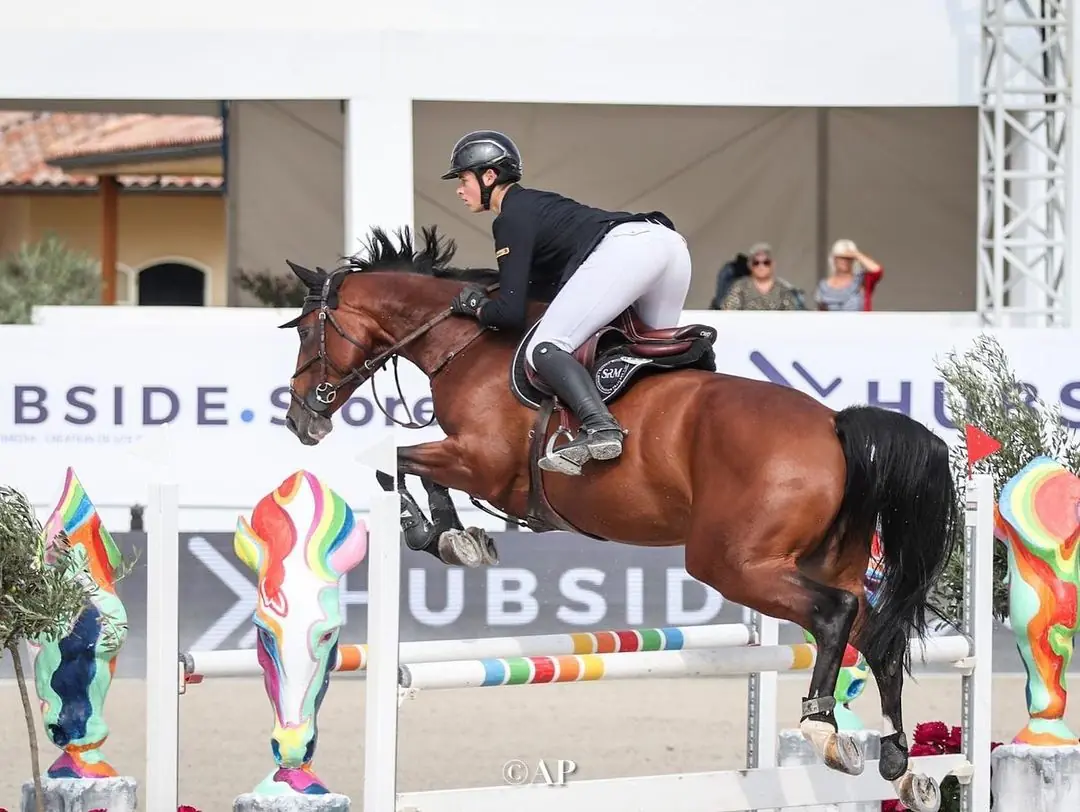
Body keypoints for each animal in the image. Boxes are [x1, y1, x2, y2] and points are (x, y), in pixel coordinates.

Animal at [277, 225, 959, 812]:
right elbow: (406, 467)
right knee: (877, 633)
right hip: (824, 559)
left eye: (308, 329)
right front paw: (456, 537)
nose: (299, 420)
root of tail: (835, 425)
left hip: (731, 563)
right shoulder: (471, 461)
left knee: (834, 615)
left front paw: (437, 535)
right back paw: (899, 760)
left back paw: (821, 727)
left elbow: (393, 463)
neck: (467, 343)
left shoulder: (482, 462)